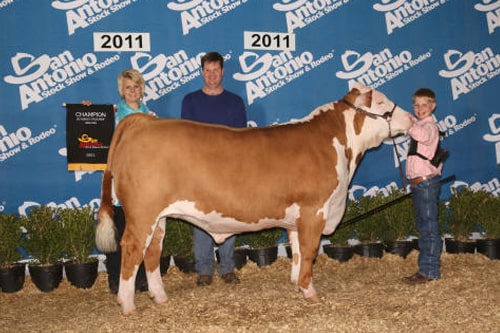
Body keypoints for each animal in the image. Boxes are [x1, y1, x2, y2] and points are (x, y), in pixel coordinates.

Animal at [95, 82, 412, 314]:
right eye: (382, 102)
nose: (410, 118)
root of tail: (141, 123)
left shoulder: (297, 216)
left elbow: (298, 251)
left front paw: (297, 284)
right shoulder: (314, 210)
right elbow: (310, 251)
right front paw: (310, 291)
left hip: (158, 217)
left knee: (151, 253)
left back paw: (160, 297)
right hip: (142, 213)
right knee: (132, 249)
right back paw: (128, 305)